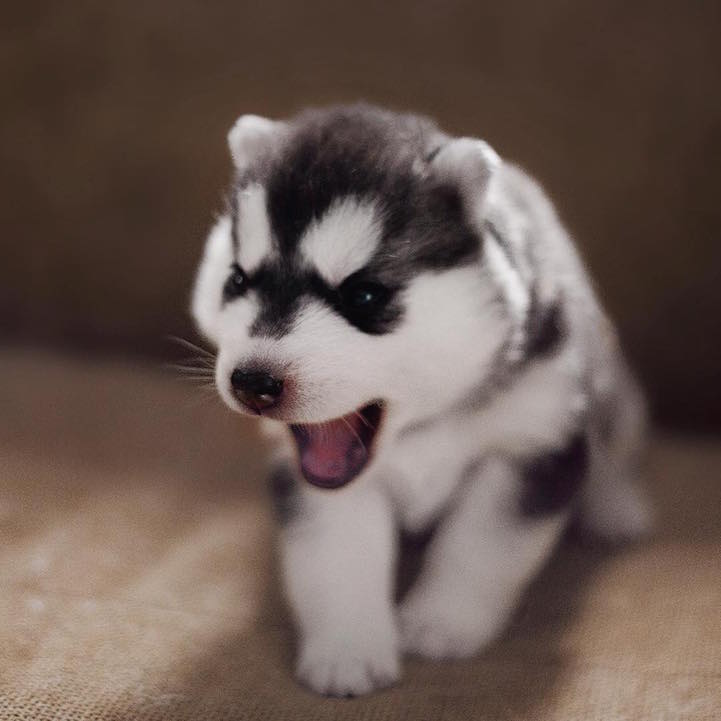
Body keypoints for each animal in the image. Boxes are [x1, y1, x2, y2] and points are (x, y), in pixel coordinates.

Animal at [190, 104, 648, 696]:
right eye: (236, 280)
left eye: (363, 295)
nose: (252, 381)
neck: (420, 428)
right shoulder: (317, 481)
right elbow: (336, 556)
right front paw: (348, 650)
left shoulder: (534, 443)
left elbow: (483, 543)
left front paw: (441, 624)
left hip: (613, 389)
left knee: (613, 446)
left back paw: (616, 508)